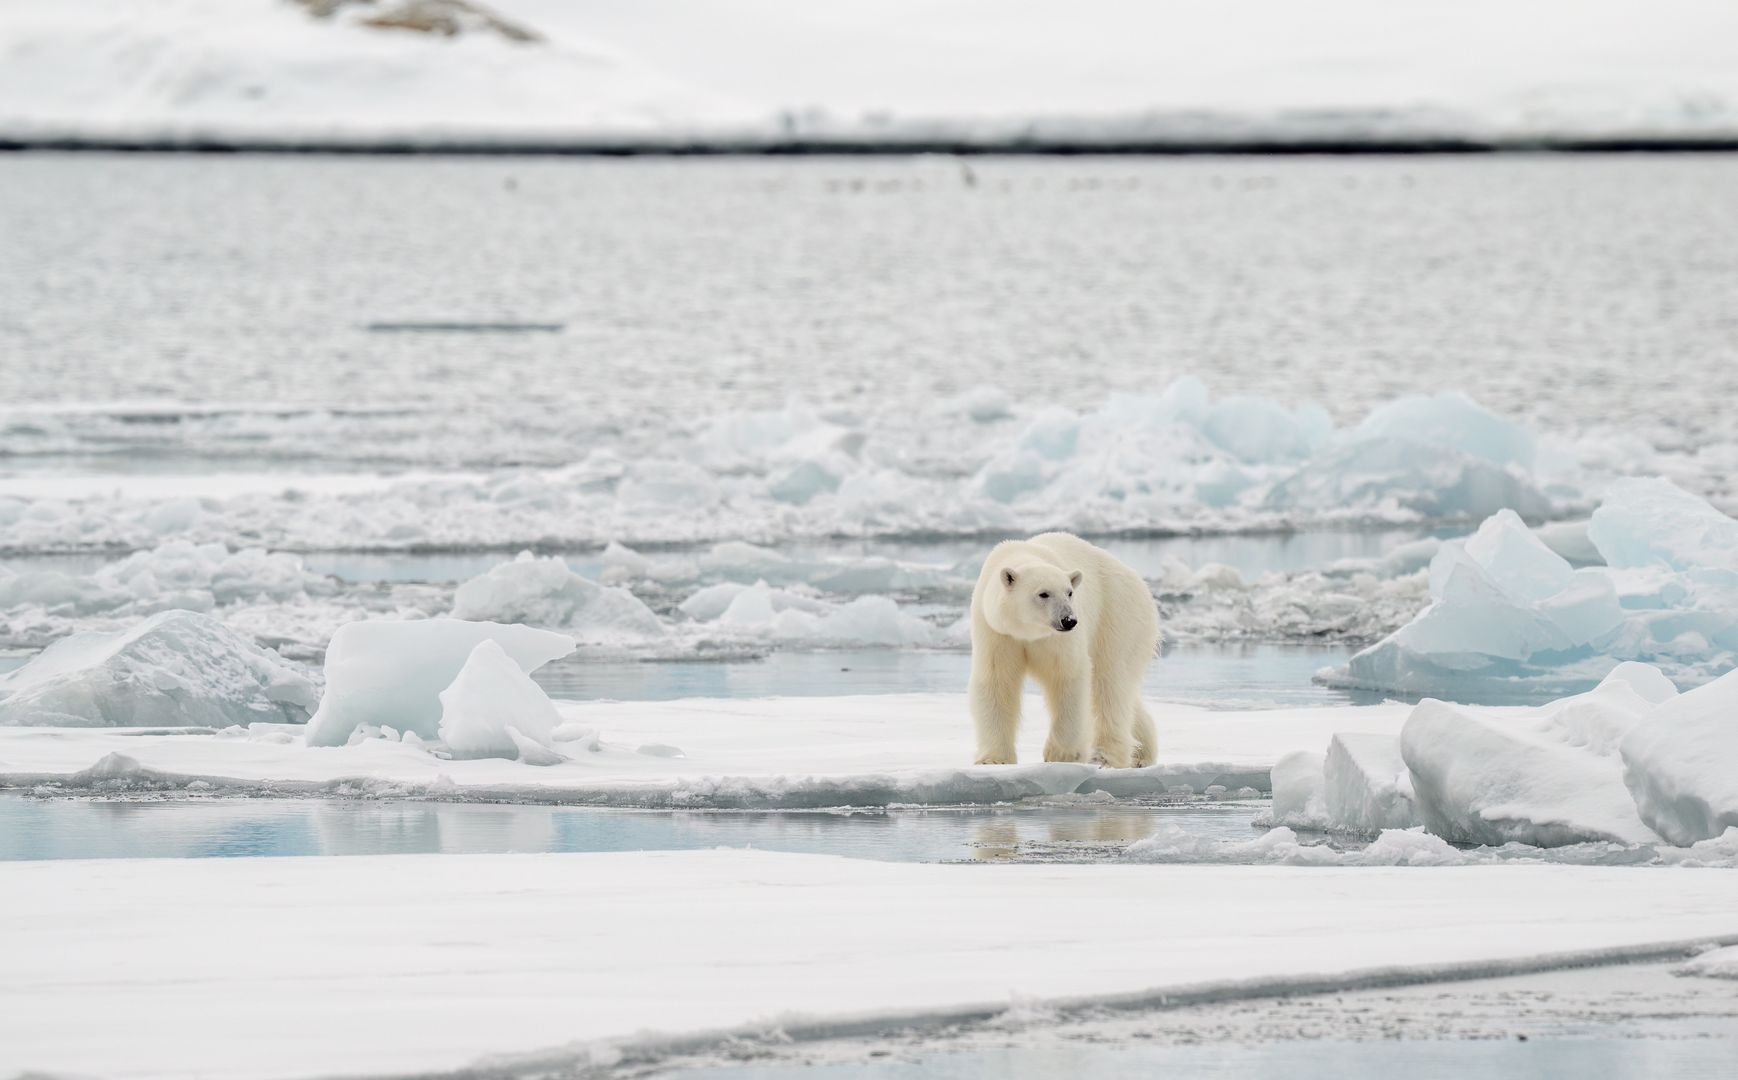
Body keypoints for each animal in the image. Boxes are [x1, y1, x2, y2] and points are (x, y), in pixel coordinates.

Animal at [973, 532, 1160, 765]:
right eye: (1043, 594)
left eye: (1069, 592)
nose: (1068, 620)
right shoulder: (997, 632)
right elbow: (997, 680)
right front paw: (993, 759)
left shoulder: (1058, 640)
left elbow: (1066, 675)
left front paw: (1062, 754)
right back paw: (1142, 752)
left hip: (1118, 617)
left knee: (1110, 684)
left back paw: (1104, 756)